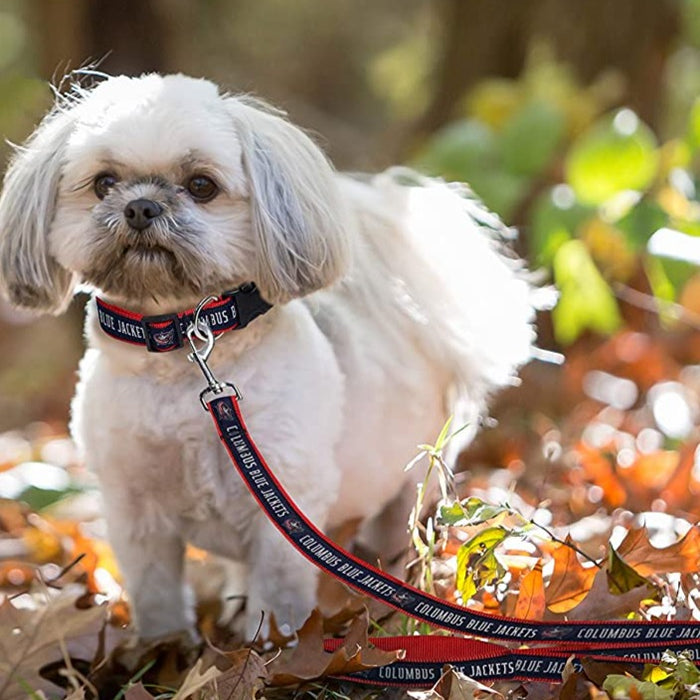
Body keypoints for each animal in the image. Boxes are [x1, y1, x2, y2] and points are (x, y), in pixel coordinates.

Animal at [0, 74, 532, 644]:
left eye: (201, 185)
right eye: (103, 183)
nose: (141, 207)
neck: (181, 346)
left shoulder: (281, 507)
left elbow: (278, 594)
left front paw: (272, 646)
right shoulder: (135, 511)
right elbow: (156, 594)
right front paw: (164, 649)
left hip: (413, 479)